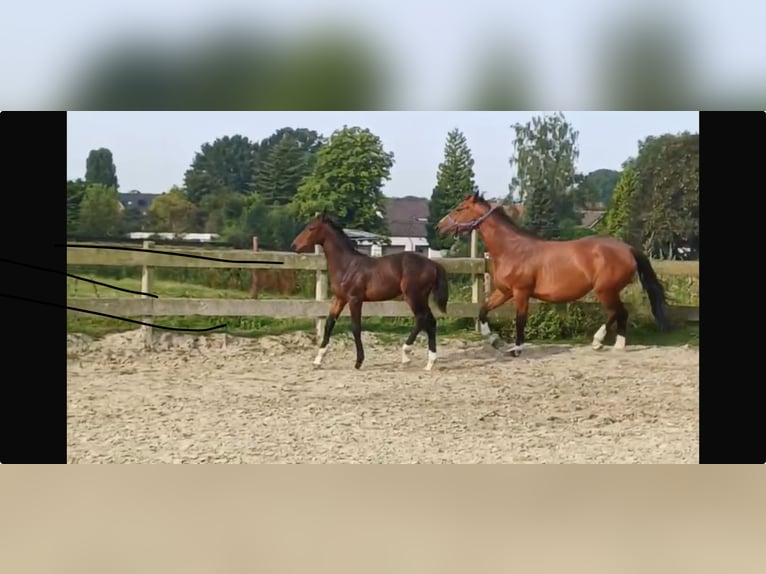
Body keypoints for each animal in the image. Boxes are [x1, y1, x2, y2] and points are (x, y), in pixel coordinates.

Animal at [292, 214, 450, 372]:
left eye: (311, 228)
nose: (294, 245)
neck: (347, 266)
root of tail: (432, 264)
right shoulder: (340, 299)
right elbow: (329, 324)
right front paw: (318, 360)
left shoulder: (355, 299)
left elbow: (356, 328)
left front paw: (358, 361)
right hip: (421, 297)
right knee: (430, 321)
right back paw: (430, 363)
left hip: (413, 296)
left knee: (421, 318)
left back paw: (406, 355)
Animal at [438, 192, 672, 356]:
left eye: (460, 208)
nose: (440, 226)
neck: (512, 249)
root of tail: (628, 249)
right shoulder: (504, 292)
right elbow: (483, 311)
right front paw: (495, 340)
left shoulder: (521, 292)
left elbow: (520, 320)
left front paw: (516, 349)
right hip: (608, 290)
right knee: (620, 313)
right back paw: (616, 346)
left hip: (605, 290)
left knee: (618, 313)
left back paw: (600, 342)